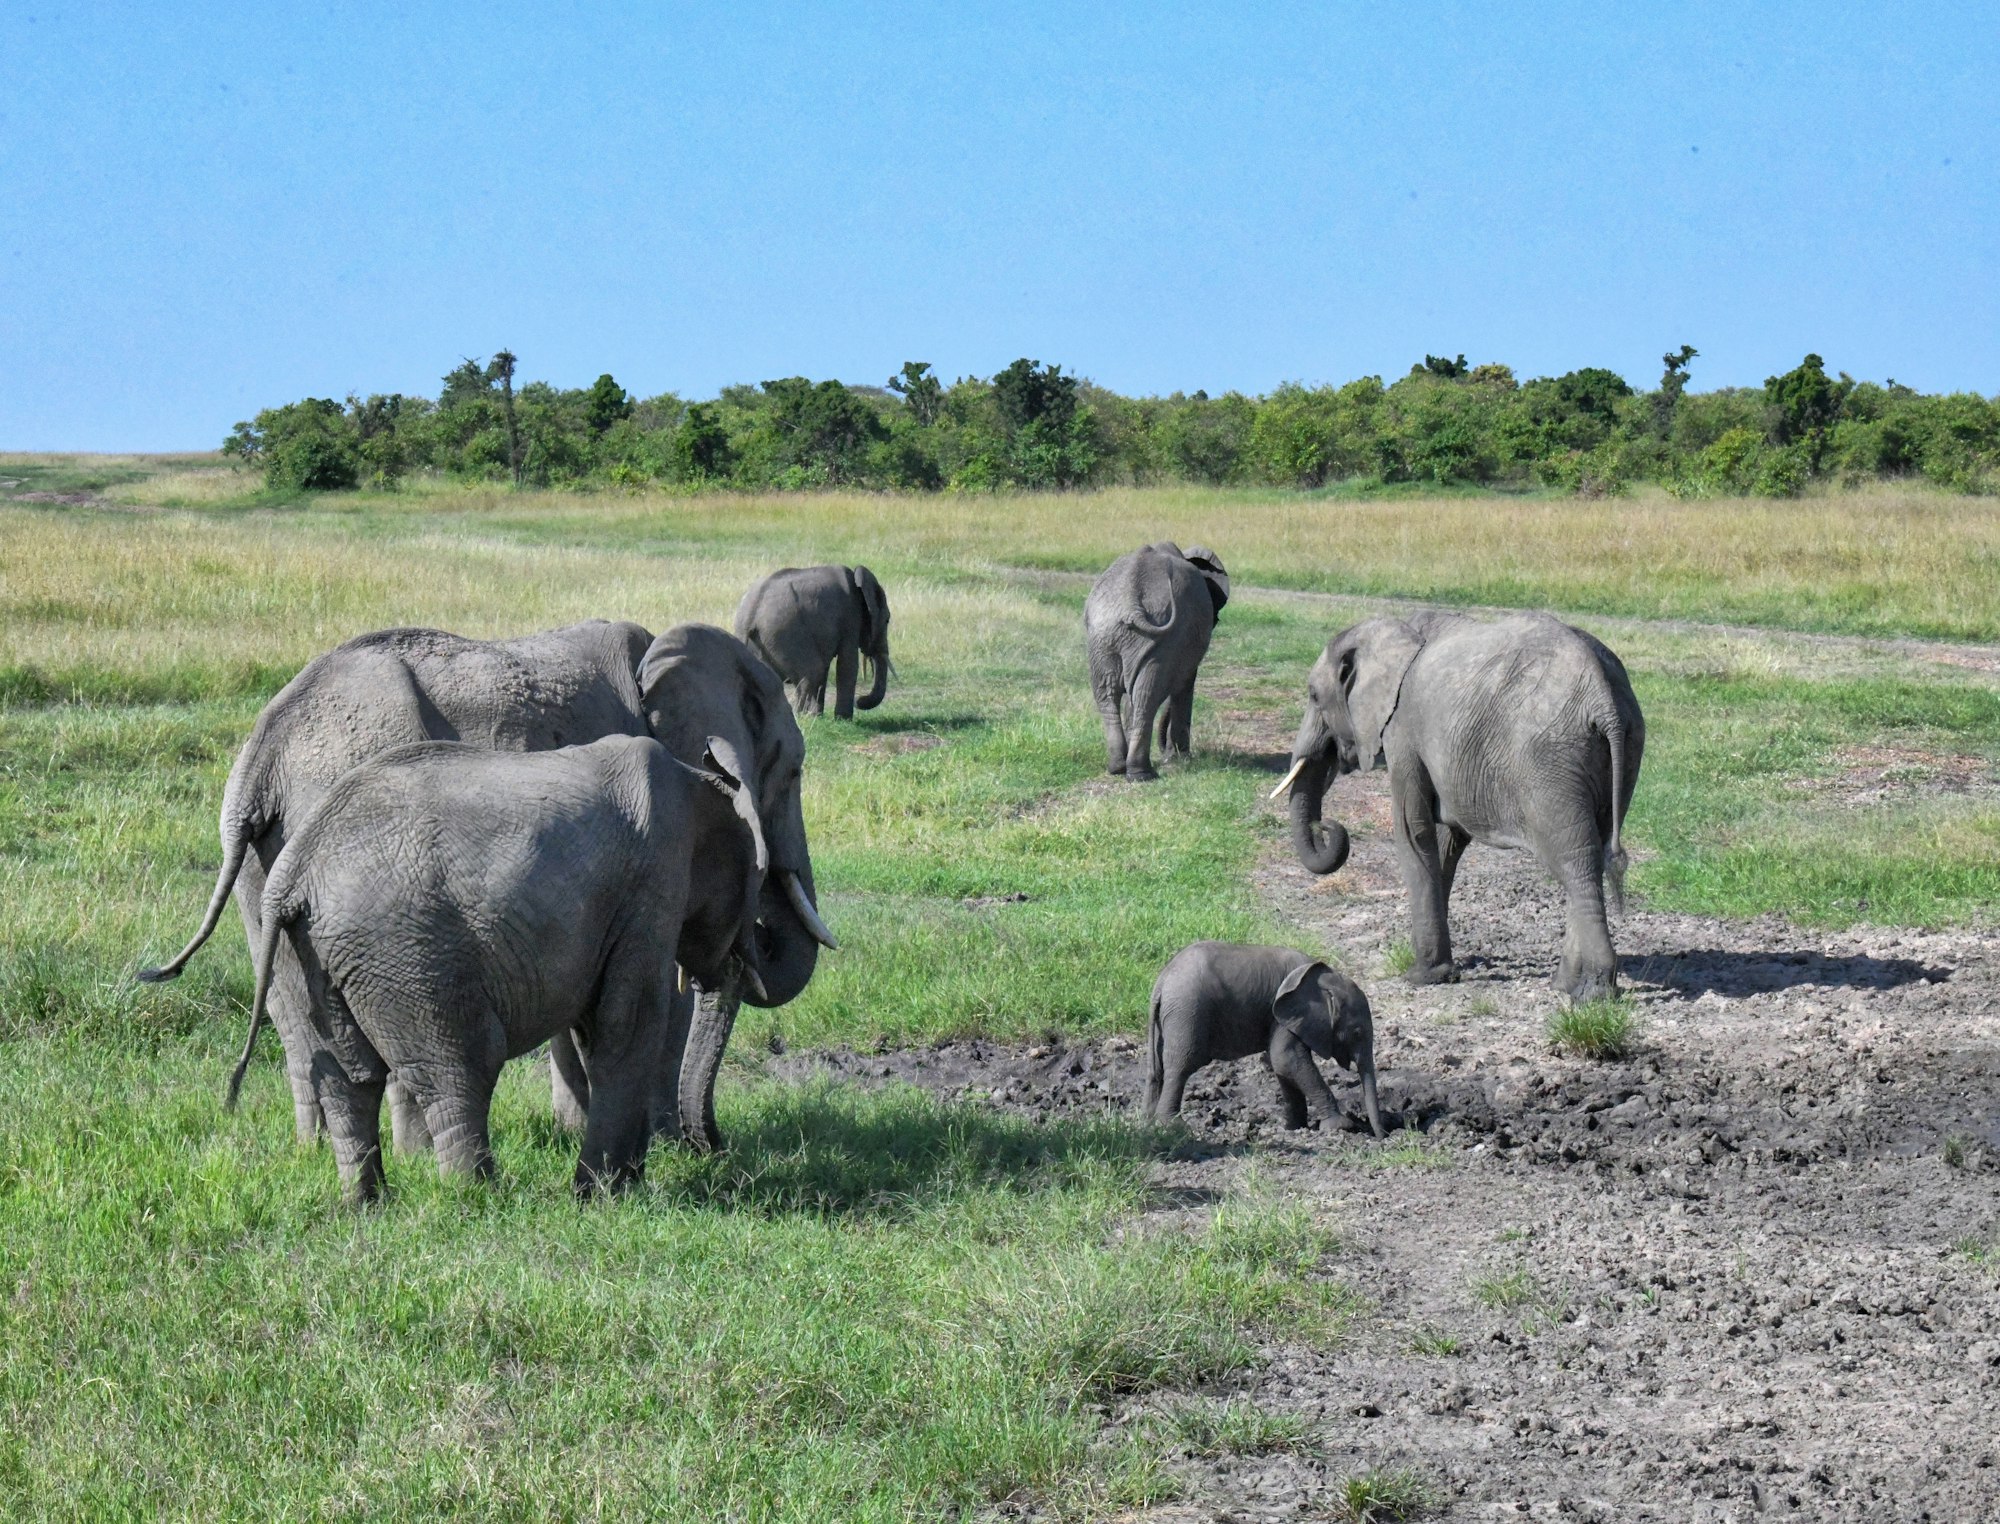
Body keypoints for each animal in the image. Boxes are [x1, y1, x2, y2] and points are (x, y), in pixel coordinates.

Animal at [137, 616, 832, 1152]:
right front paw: (658, 1142)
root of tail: (262, 757)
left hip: (268, 865)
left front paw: (577, 1129)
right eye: (794, 770)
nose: (712, 1144)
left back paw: (314, 1151)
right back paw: (416, 1158)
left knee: (291, 1007)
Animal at [736, 564, 892, 720]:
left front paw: (819, 716)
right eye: (887, 620)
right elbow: (848, 664)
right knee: (813, 672)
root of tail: (749, 615)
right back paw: (800, 716)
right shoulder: (850, 616)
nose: (859, 700)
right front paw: (843, 719)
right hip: (785, 633)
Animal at [1088, 540, 1224, 776]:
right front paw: (1181, 759)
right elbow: (1185, 685)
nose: (1164, 751)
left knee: (1109, 693)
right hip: (1157, 639)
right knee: (1145, 695)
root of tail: (1131, 601)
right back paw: (1141, 773)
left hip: (1106, 636)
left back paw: (1118, 767)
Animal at [1152, 932, 1384, 1136]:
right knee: (1181, 1066)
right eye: (1357, 1032)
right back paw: (1172, 1127)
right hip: (1187, 1012)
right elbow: (1286, 1060)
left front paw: (1294, 1128)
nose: (1381, 1136)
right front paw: (1341, 1127)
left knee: (1157, 1070)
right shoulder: (1283, 1016)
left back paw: (1148, 1126)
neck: (1325, 979)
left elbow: (1284, 1066)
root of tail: (1162, 981)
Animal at [1280, 612, 1640, 1004]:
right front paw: (1441, 969)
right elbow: (1444, 842)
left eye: (1314, 695)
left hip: (1551, 764)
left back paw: (1593, 992)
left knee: (1576, 860)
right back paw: (1565, 984)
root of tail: (1602, 696)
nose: (1327, 826)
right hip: (1623, 749)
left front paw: (1421, 977)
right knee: (1594, 853)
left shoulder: (1402, 729)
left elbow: (1413, 829)